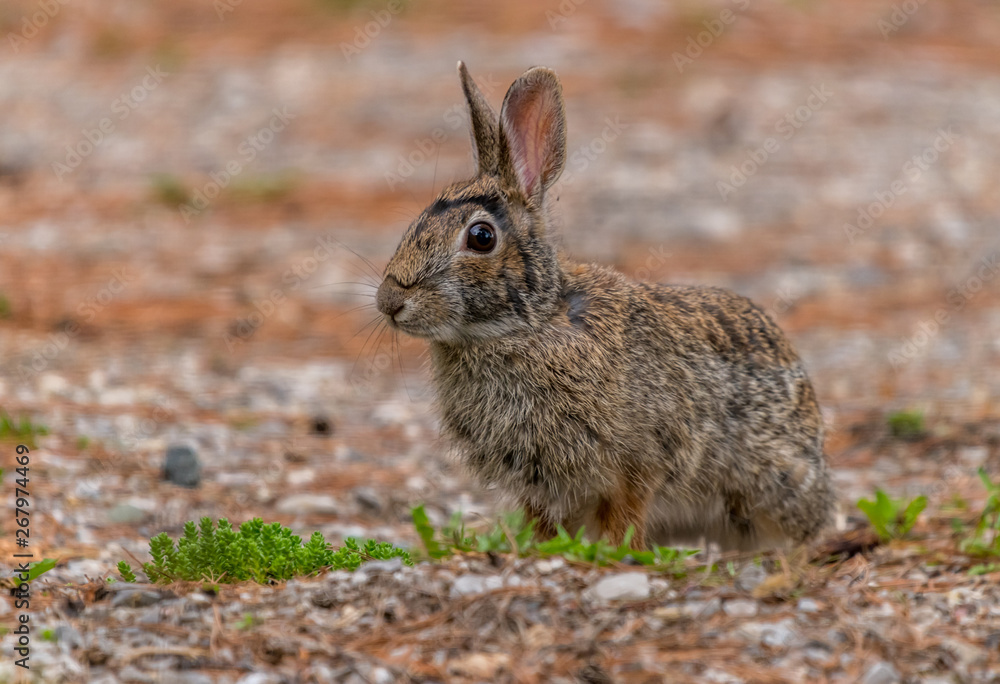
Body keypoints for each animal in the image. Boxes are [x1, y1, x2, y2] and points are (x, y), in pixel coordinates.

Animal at [375, 62, 835, 551]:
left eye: (481, 237)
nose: (390, 301)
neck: (530, 324)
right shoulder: (539, 486)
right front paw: (544, 549)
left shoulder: (636, 466)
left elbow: (626, 516)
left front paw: (616, 553)